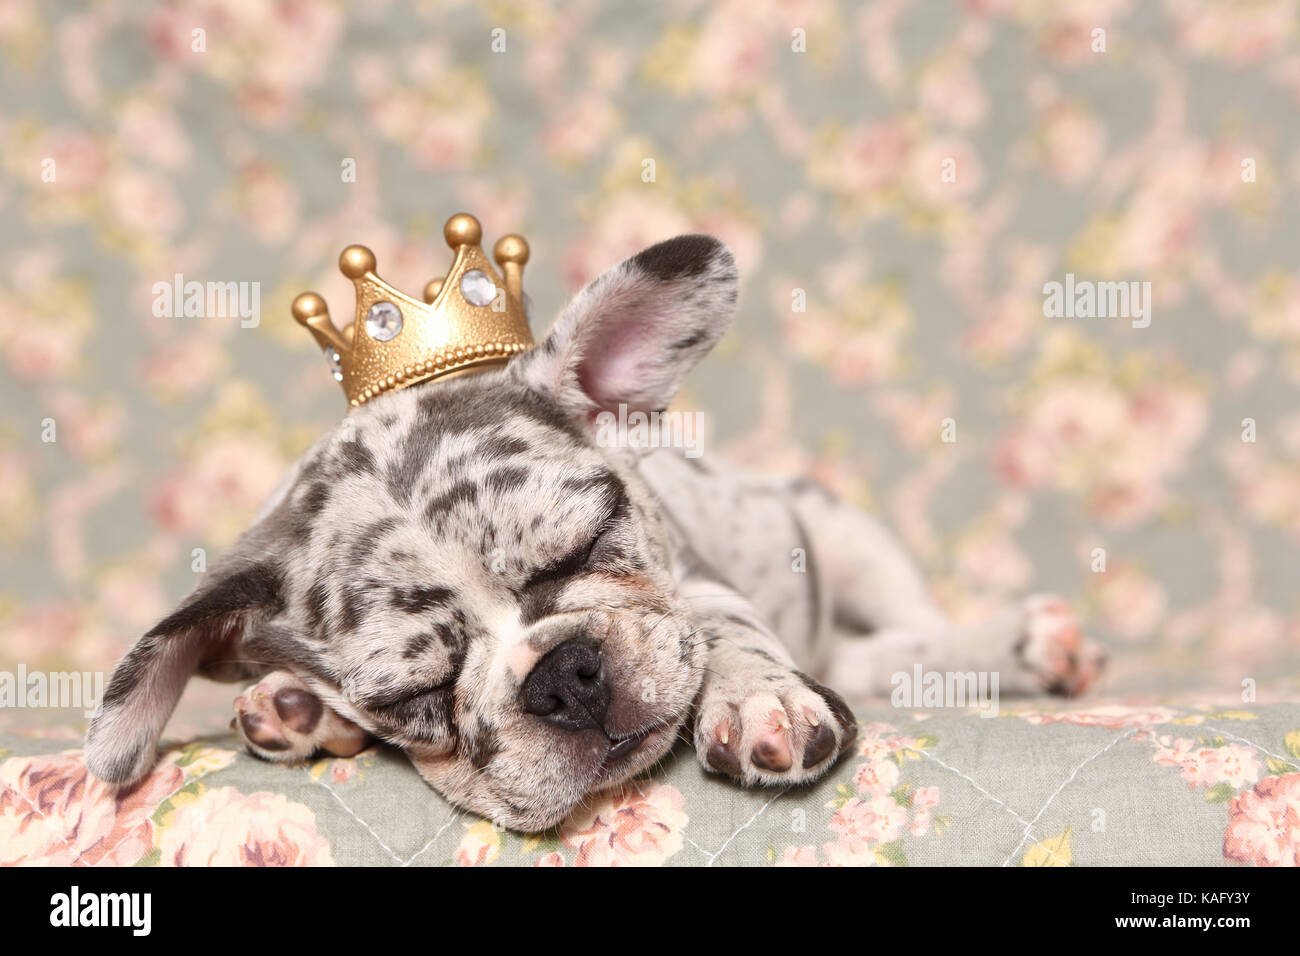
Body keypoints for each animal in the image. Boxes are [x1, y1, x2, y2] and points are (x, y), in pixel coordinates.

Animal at [86, 235, 1102, 832]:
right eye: (415, 696)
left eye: (585, 544)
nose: (563, 678)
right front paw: (297, 707)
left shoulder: (698, 582)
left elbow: (724, 629)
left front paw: (756, 698)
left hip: (844, 536)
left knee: (902, 631)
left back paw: (1018, 643)